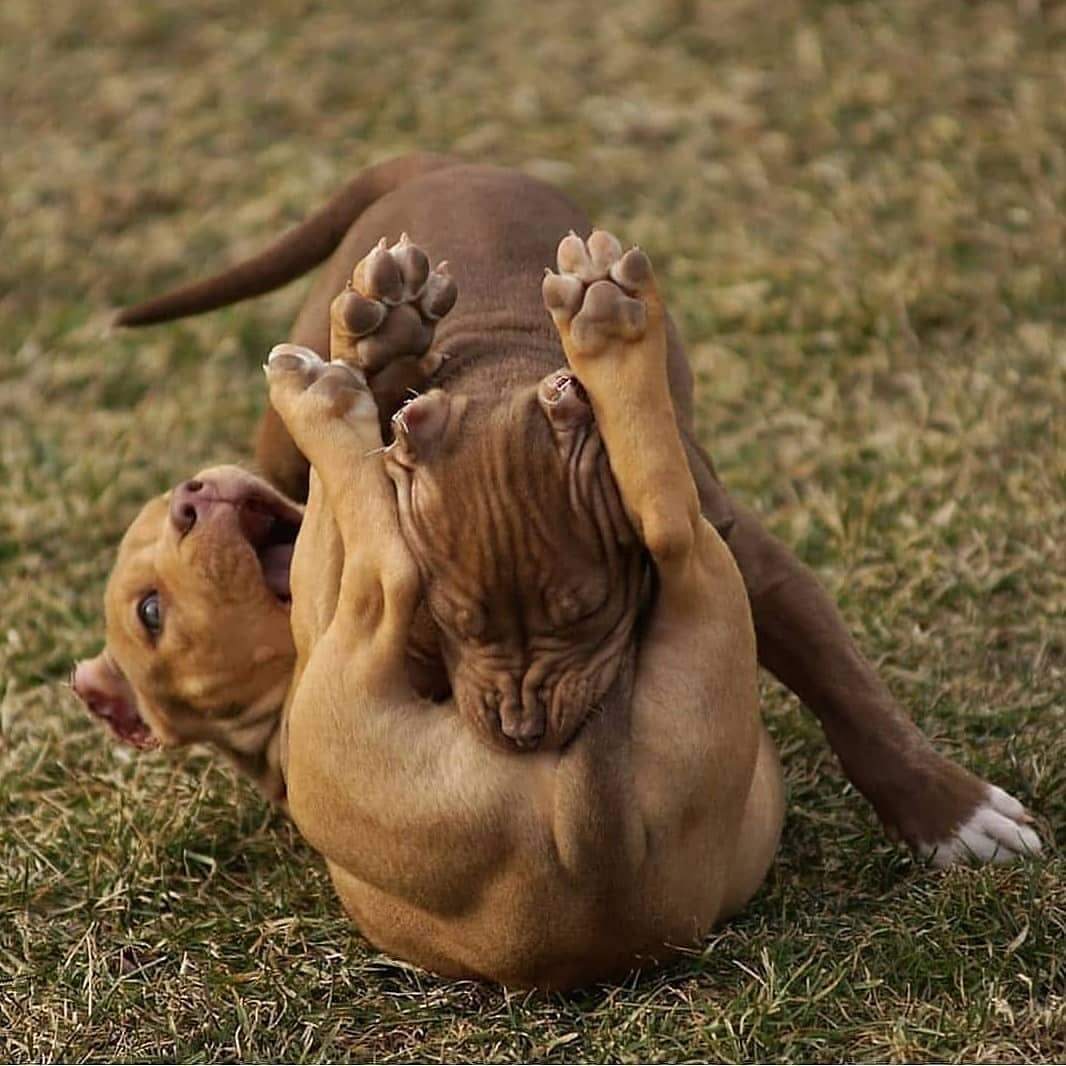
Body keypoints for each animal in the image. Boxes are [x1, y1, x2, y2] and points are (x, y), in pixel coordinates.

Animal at [75, 159, 1040, 874]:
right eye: (446, 629)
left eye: (583, 614)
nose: (523, 734)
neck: (503, 379)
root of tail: (445, 160)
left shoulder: (752, 565)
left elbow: (849, 691)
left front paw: (953, 815)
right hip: (285, 428)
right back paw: (378, 339)